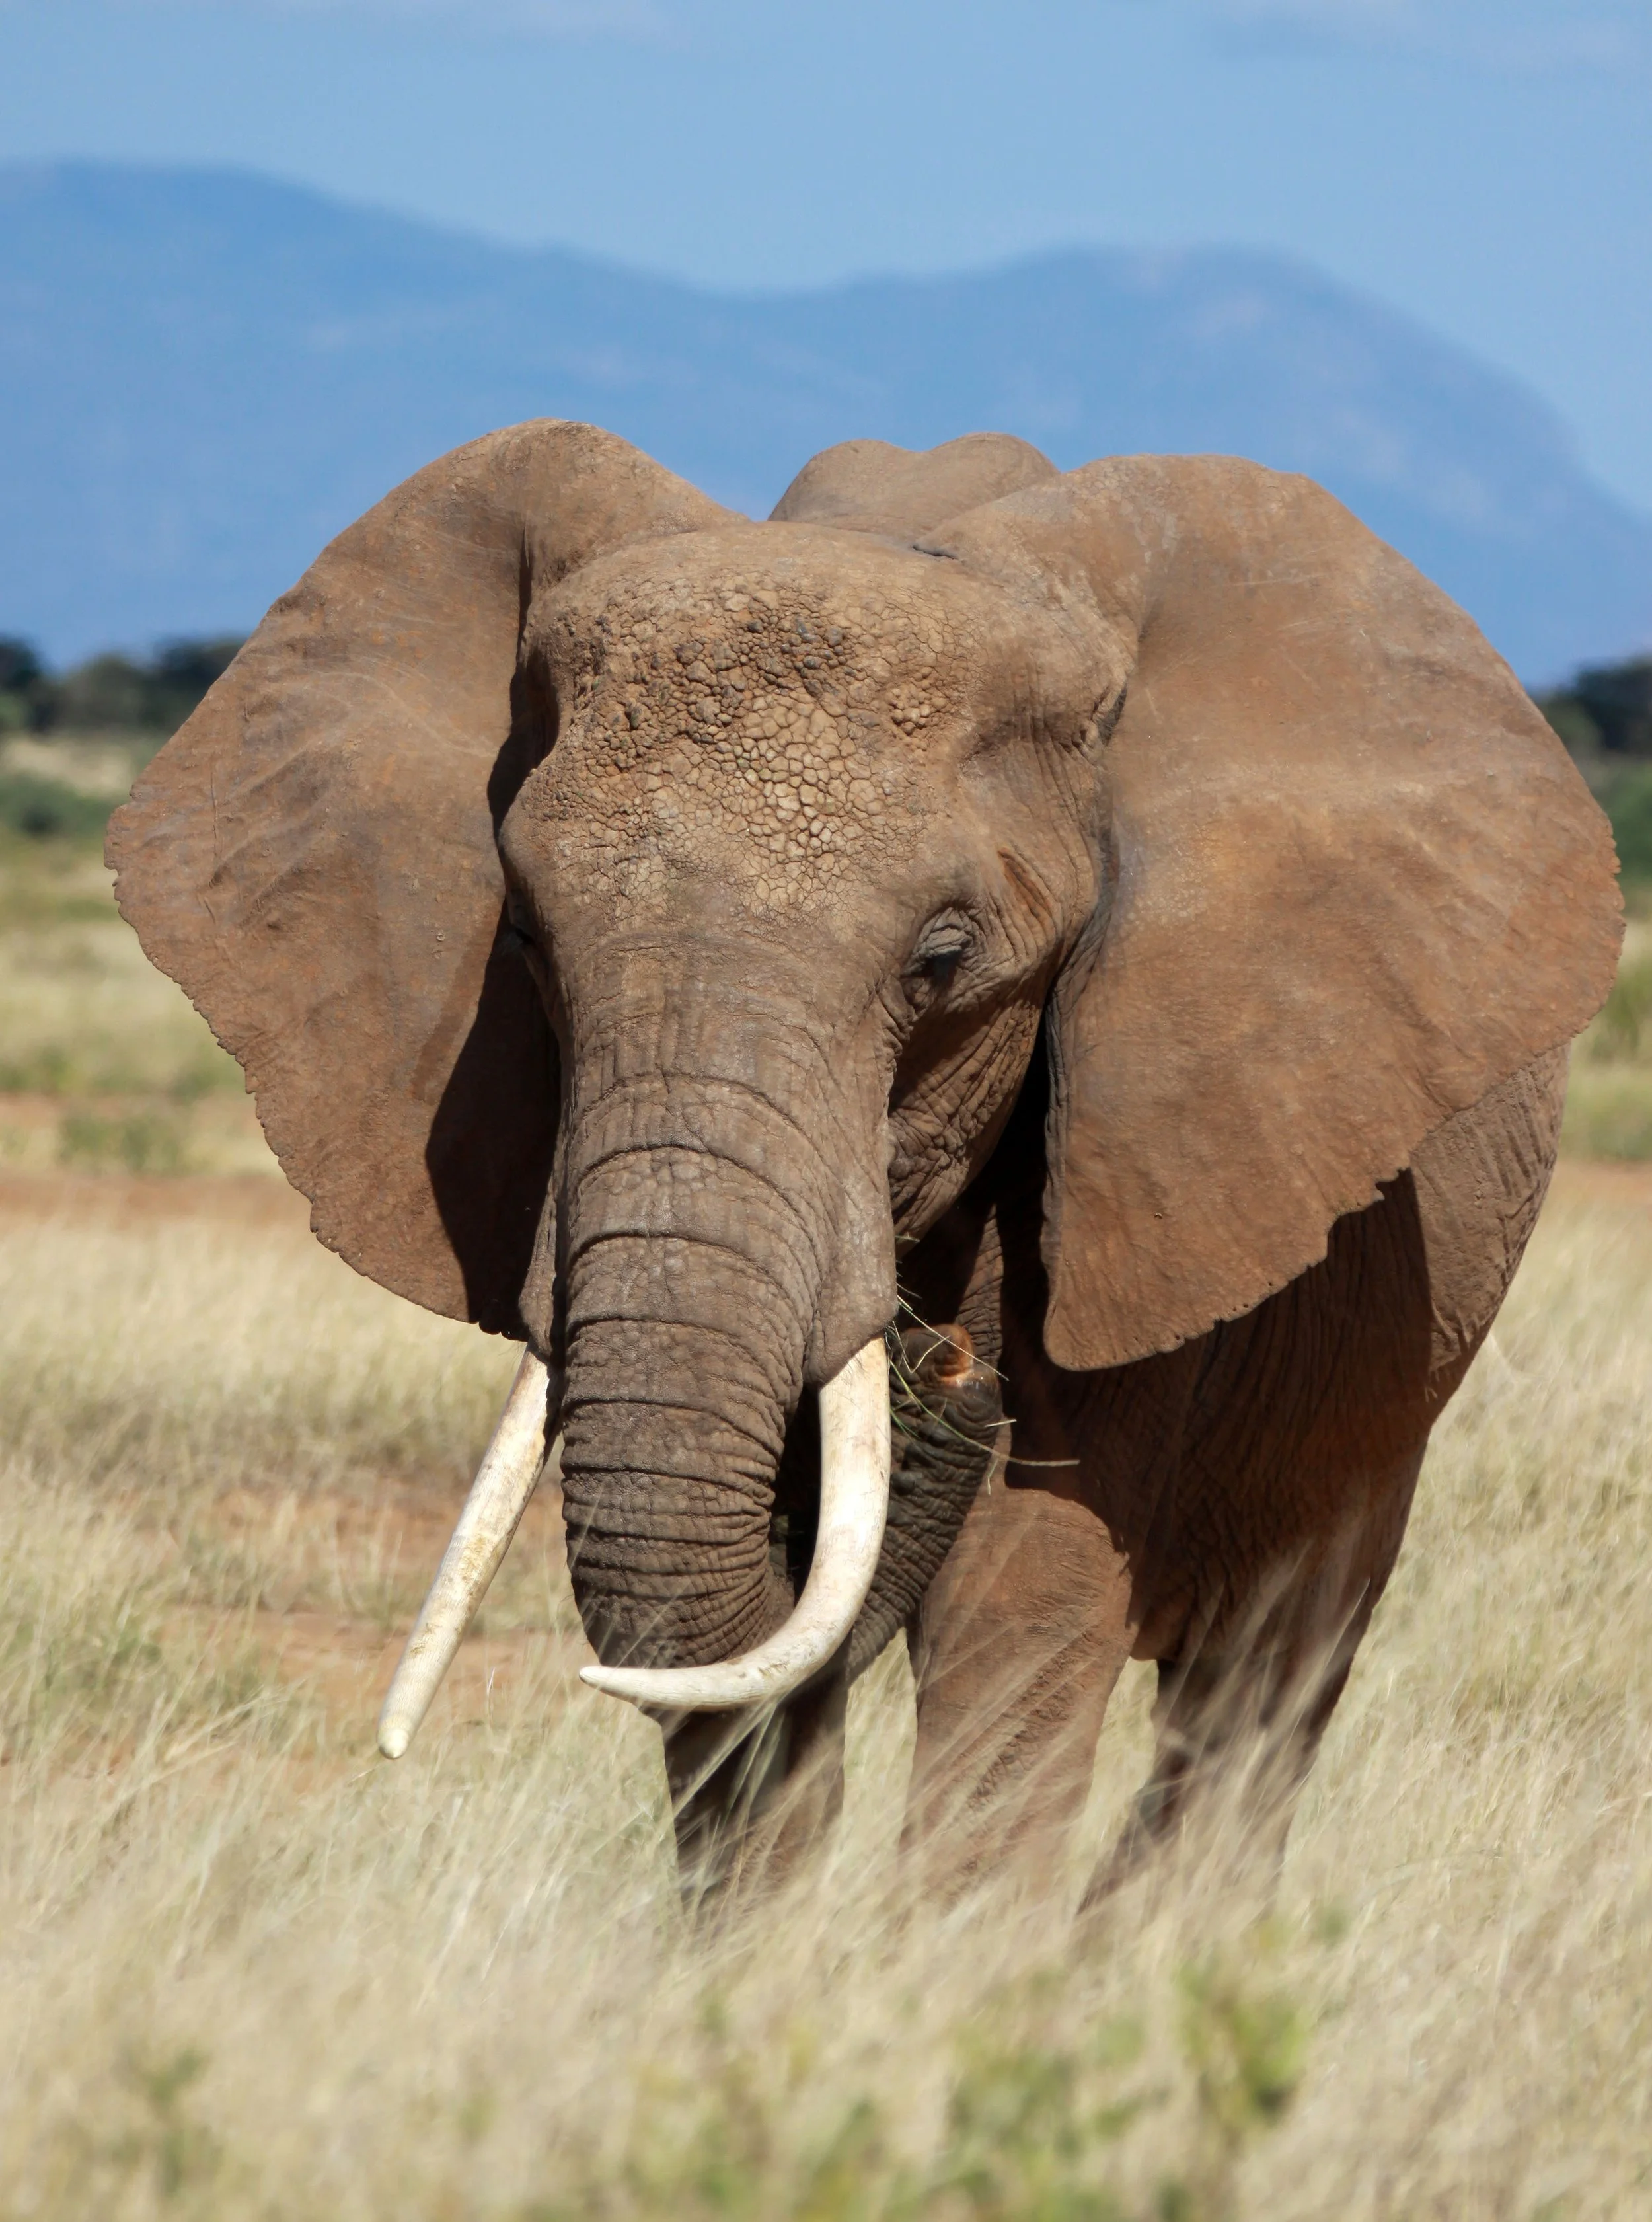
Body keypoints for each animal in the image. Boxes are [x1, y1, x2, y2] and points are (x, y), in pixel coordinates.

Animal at [109, 422, 1621, 1900]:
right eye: (526, 937)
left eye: (944, 960)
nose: (942, 1365)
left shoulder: (1162, 1149)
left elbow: (1021, 1586)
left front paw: (948, 1970)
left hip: (1391, 1375)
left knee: (1261, 1680)